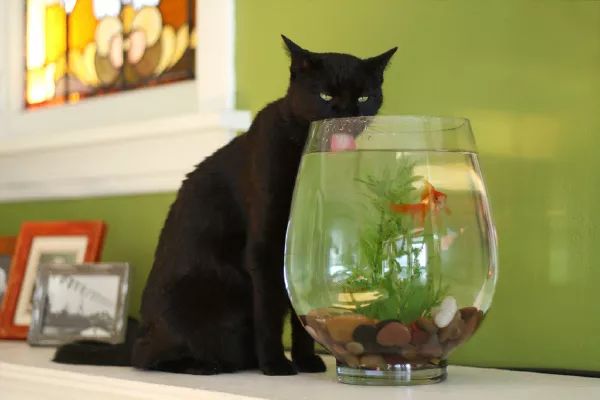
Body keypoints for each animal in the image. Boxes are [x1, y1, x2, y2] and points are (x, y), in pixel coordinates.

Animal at [54, 35, 396, 376]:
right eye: (326, 95)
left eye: (364, 97)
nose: (348, 115)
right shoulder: (264, 246)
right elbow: (269, 313)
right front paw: (275, 364)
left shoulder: (302, 246)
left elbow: (301, 311)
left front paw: (305, 361)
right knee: (146, 359)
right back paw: (205, 365)